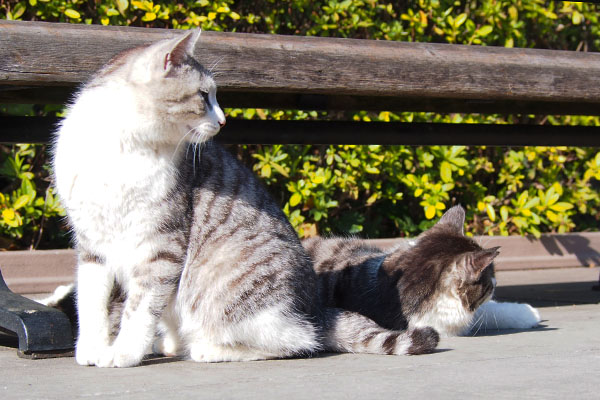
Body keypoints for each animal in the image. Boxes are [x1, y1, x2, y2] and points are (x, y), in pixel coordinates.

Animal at [50, 29, 436, 368]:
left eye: (215, 96)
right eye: (204, 95)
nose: (224, 121)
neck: (122, 148)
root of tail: (313, 307)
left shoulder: (161, 244)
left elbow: (139, 309)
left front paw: (122, 354)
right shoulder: (91, 245)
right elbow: (91, 303)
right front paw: (92, 350)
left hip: (231, 289)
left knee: (295, 340)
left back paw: (207, 349)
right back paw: (173, 344)